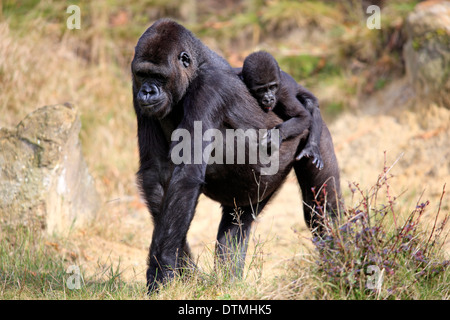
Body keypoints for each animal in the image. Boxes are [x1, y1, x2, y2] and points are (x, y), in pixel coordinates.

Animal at [132, 17, 342, 292]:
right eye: (142, 74)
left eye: (158, 76)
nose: (147, 91)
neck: (194, 71)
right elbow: (156, 173)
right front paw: (183, 267)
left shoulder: (209, 87)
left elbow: (186, 174)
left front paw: (161, 267)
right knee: (237, 224)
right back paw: (228, 282)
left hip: (315, 133)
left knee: (323, 211)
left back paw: (345, 257)